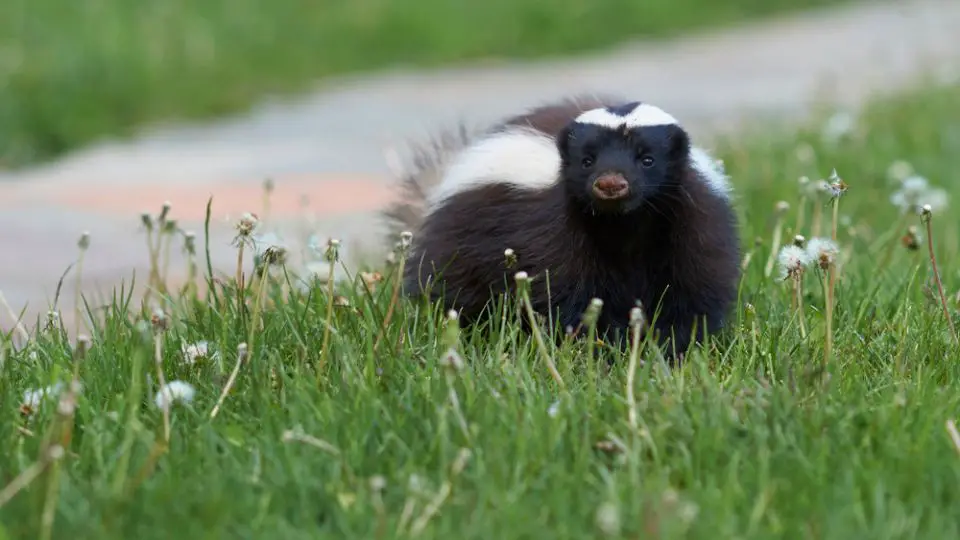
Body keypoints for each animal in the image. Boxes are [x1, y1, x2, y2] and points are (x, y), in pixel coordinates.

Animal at [382, 96, 744, 358]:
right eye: (587, 160)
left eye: (647, 159)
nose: (611, 183)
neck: (625, 224)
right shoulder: (551, 229)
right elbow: (567, 290)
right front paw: (603, 346)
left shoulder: (691, 222)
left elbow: (691, 291)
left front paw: (667, 347)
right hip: (462, 242)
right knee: (458, 293)